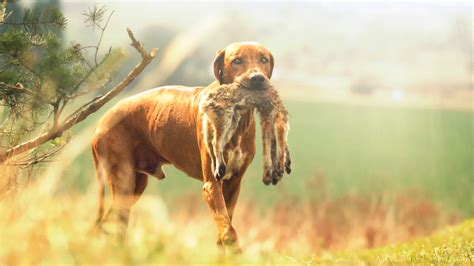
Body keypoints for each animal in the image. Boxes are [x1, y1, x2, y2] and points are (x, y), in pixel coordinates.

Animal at [93, 42, 284, 251]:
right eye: (237, 60)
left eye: (263, 59)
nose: (257, 79)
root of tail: (100, 122)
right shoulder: (212, 185)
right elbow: (228, 231)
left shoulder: (233, 184)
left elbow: (224, 227)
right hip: (124, 181)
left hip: (135, 186)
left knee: (109, 222)